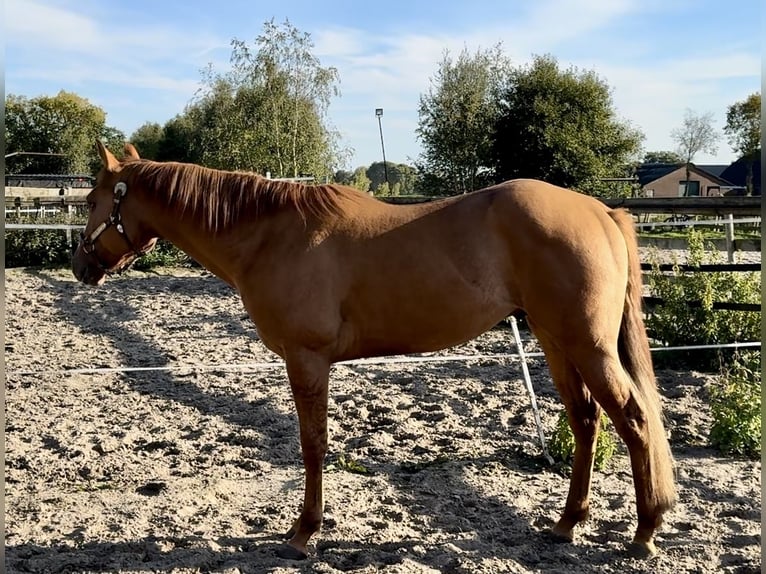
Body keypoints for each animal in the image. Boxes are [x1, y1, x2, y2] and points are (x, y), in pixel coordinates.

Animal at [72, 142, 676, 560]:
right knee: (585, 421)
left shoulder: (306, 359)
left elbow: (312, 446)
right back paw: (567, 523)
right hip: (554, 341)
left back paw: (644, 532)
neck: (269, 235)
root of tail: (602, 211)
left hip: (587, 345)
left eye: (92, 200)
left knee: (634, 420)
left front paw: (304, 533)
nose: (80, 266)